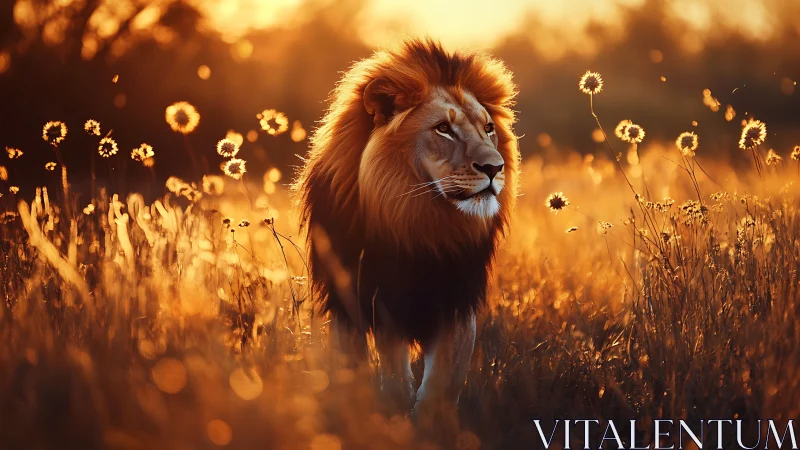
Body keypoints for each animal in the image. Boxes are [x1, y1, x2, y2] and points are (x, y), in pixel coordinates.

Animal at [293, 39, 518, 418]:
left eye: (489, 128)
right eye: (443, 128)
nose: (495, 167)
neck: (416, 225)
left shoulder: (455, 302)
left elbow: (440, 384)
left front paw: (428, 421)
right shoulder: (357, 302)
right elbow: (380, 371)